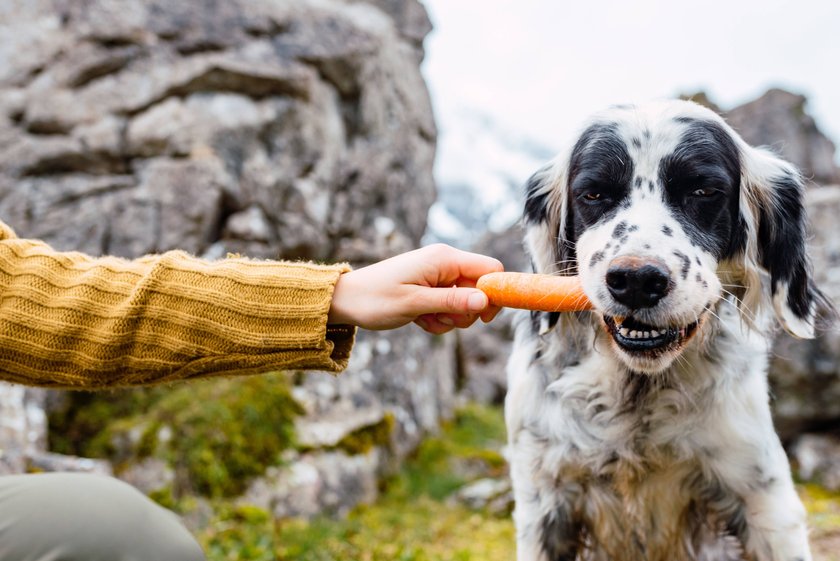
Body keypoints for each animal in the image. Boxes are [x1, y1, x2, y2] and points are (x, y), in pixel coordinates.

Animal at [506, 100, 832, 560]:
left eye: (702, 192)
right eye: (594, 194)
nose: (636, 280)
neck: (638, 393)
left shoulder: (765, 501)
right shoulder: (543, 503)